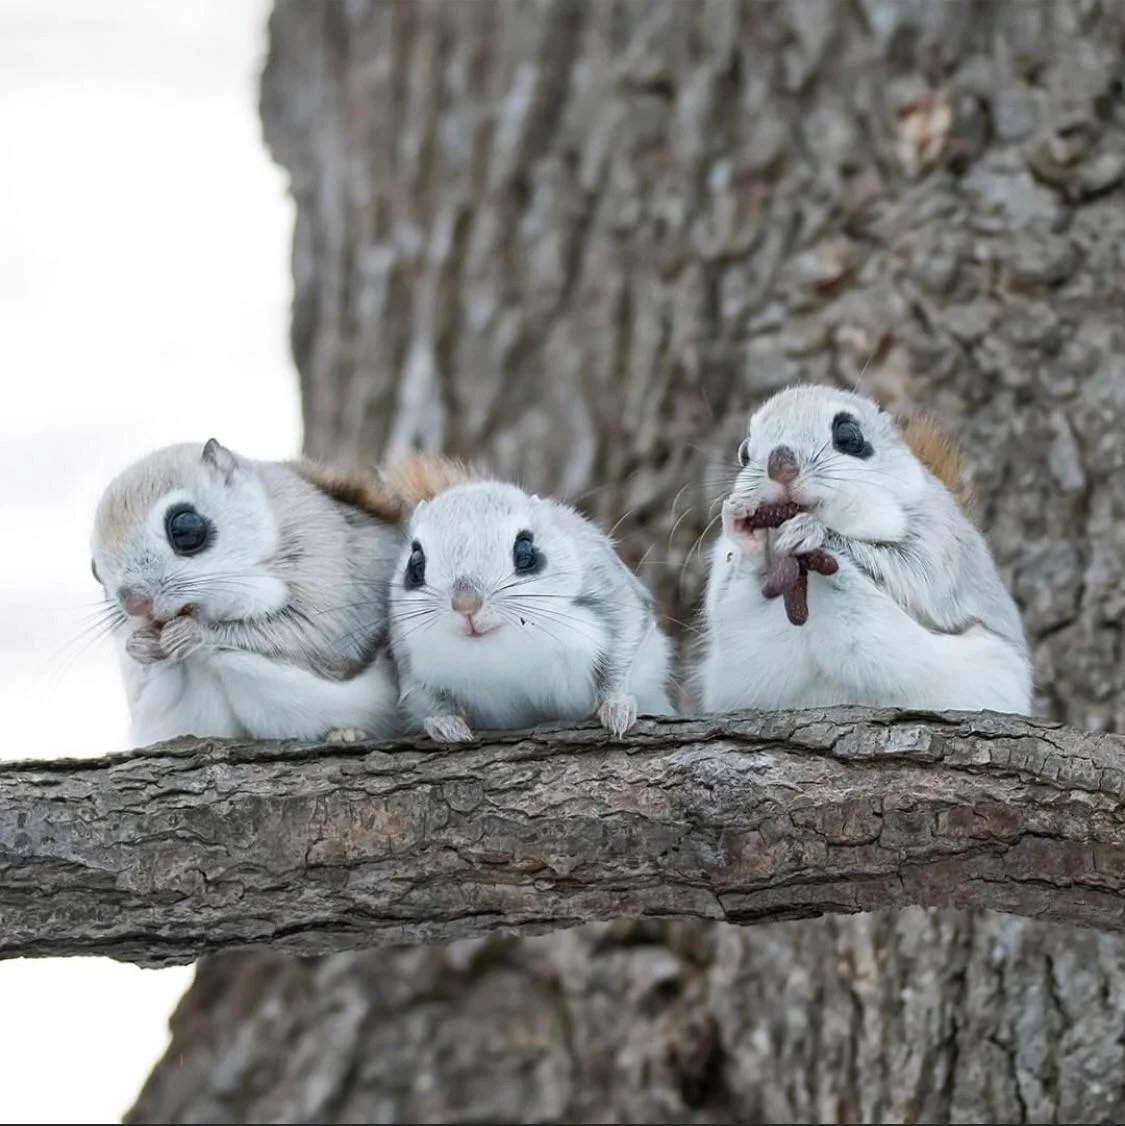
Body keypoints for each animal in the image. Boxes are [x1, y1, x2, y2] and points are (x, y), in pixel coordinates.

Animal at [91, 438, 467, 746]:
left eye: (186, 527)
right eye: (95, 569)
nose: (134, 603)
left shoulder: (330, 569)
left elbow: (312, 633)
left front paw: (194, 633)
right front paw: (140, 645)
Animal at [389, 479, 674, 743]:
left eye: (525, 550)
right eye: (415, 564)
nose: (466, 604)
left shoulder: (614, 594)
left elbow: (621, 652)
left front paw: (616, 708)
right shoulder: (407, 657)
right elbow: (430, 698)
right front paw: (445, 724)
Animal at [698, 385, 1032, 714]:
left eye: (849, 436)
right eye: (744, 452)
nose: (780, 465)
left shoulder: (939, 540)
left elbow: (917, 574)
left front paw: (815, 532)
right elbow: (725, 597)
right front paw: (742, 524)